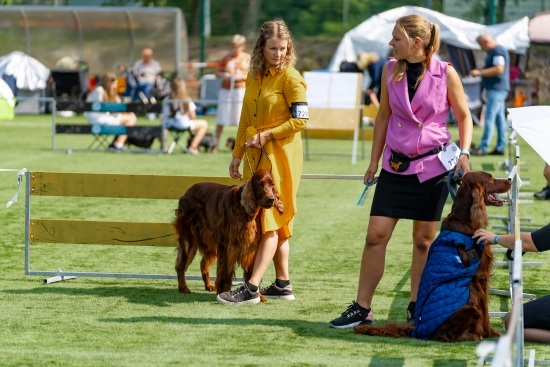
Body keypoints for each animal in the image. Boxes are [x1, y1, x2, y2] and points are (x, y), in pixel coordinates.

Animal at [356, 172, 512, 342]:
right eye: (490, 178)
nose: (510, 180)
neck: (464, 220)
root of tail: (415, 331)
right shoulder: (480, 276)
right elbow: (485, 310)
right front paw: (491, 333)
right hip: (469, 306)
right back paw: (473, 335)